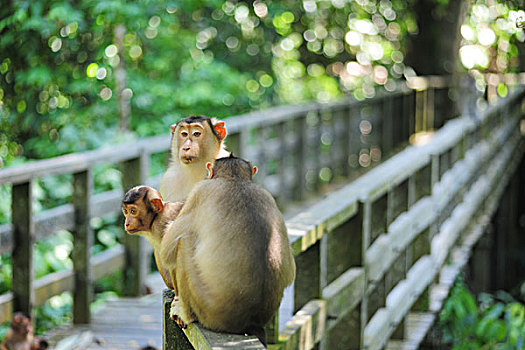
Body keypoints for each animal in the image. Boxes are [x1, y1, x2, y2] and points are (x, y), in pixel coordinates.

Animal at [158, 154, 296, 344]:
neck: (235, 179)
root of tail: (251, 321)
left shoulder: (200, 193)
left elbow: (167, 250)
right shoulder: (268, 196)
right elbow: (291, 271)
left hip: (207, 309)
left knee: (183, 242)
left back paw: (186, 314)